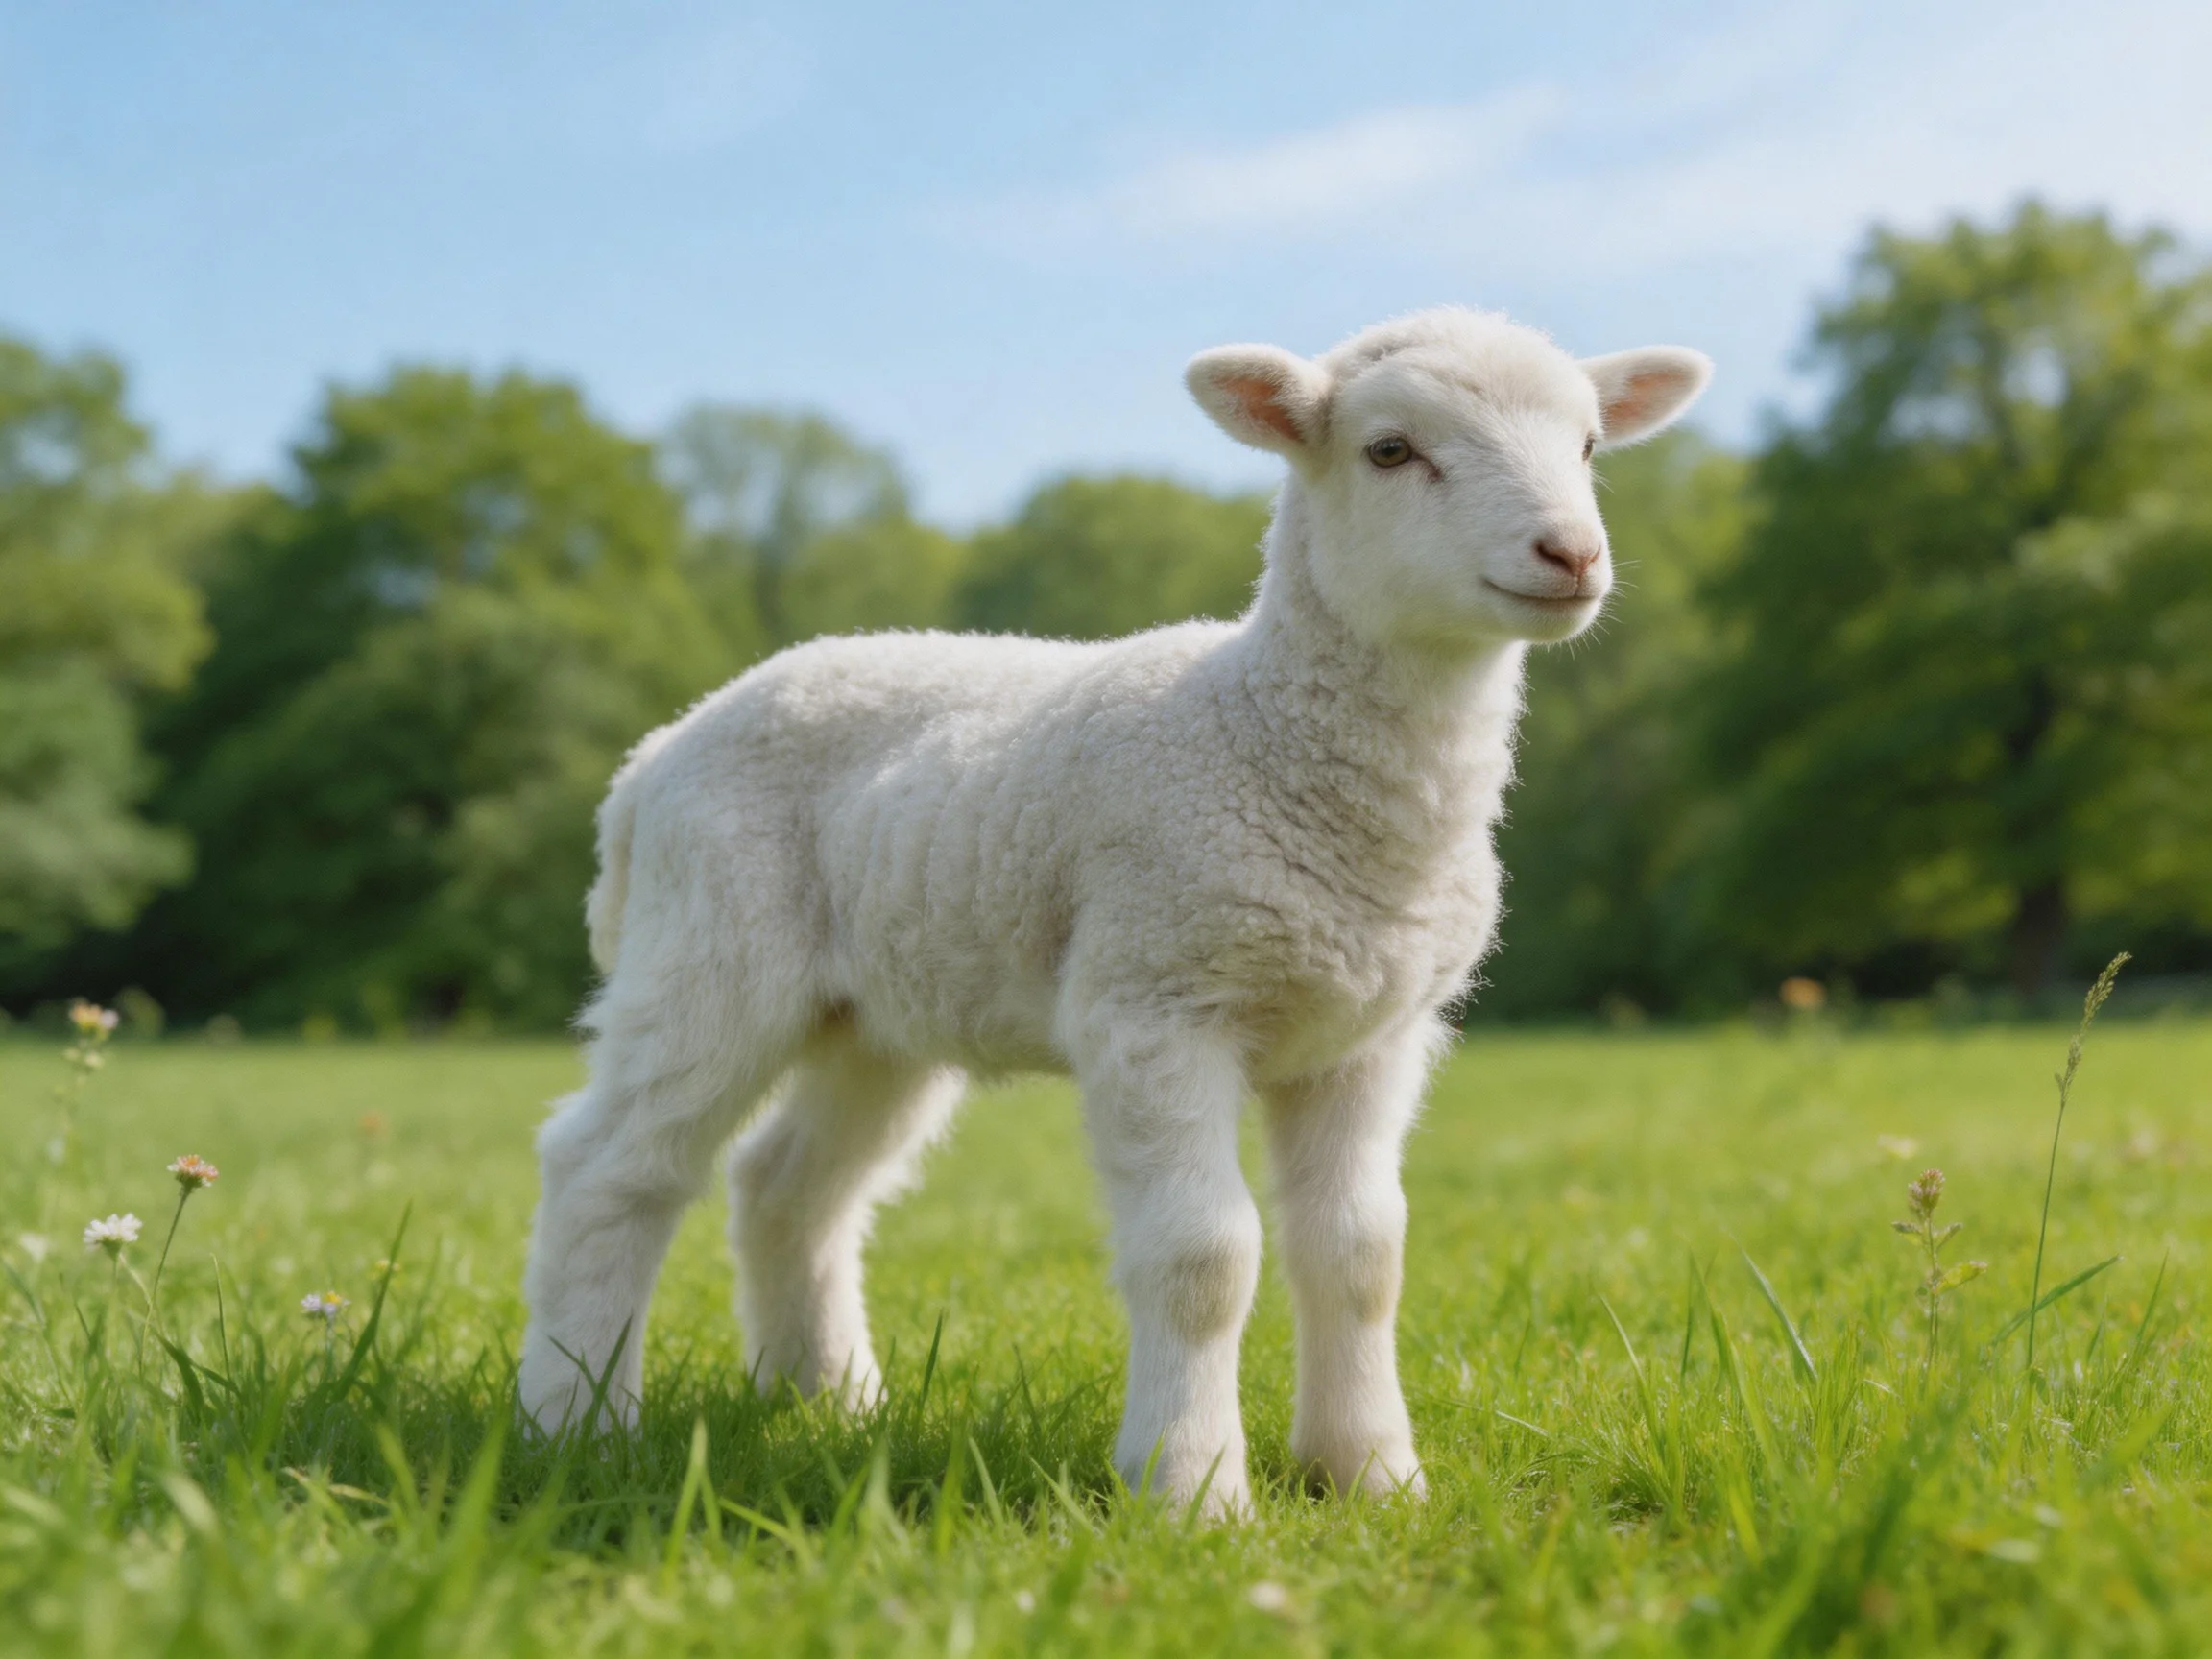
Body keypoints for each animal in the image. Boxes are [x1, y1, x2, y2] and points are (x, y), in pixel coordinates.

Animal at [518, 305, 1710, 1515]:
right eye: (1390, 450)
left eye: (1589, 447)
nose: (1572, 555)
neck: (1270, 740)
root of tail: (655, 758)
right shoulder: (1156, 998)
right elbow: (1203, 1257)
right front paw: (1191, 1491)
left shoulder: (1369, 1035)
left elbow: (1361, 1255)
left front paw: (1372, 1476)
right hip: (712, 943)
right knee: (608, 1167)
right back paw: (576, 1424)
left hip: (877, 1012)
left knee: (787, 1187)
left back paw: (829, 1402)